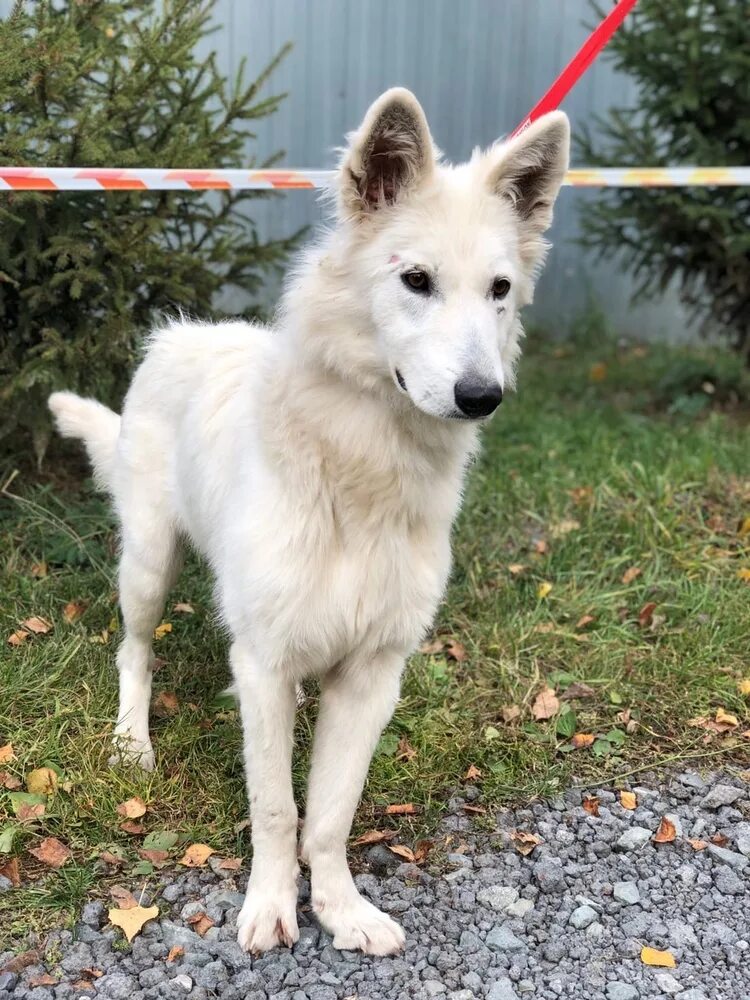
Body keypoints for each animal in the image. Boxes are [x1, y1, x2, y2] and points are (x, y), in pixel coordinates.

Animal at [50, 90, 568, 956]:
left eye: (499, 288)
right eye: (416, 280)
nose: (481, 396)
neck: (361, 469)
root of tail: (183, 332)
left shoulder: (372, 675)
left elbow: (328, 813)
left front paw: (338, 907)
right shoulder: (264, 661)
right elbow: (275, 806)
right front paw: (270, 906)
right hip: (149, 566)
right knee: (134, 653)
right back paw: (131, 740)